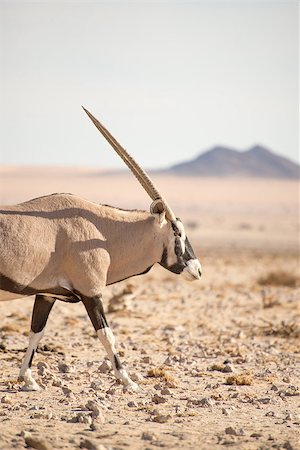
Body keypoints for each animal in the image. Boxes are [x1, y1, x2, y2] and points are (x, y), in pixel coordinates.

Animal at [1, 108, 202, 390]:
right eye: (178, 232)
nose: (197, 270)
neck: (104, 233)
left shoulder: (47, 294)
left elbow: (35, 332)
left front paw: (27, 379)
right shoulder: (91, 293)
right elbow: (107, 335)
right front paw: (127, 381)